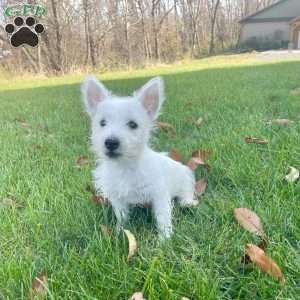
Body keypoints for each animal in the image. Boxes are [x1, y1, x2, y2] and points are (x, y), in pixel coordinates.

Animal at [81, 75, 197, 239]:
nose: (111, 142)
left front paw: (165, 238)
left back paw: (188, 202)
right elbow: (121, 215)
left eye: (133, 124)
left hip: (185, 178)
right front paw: (120, 230)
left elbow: (162, 217)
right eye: (102, 123)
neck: (125, 165)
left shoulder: (159, 194)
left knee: (186, 193)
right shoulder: (117, 197)